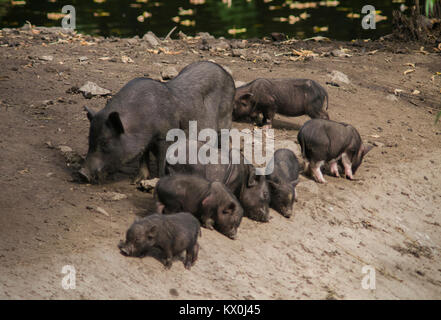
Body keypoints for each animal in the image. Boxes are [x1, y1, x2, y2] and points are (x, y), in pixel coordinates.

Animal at [77, 61, 235, 184]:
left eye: (105, 142)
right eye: (89, 140)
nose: (82, 173)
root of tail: (227, 74)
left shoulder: (165, 136)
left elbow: (161, 160)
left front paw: (157, 180)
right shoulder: (145, 143)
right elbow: (143, 158)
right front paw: (137, 181)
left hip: (225, 117)